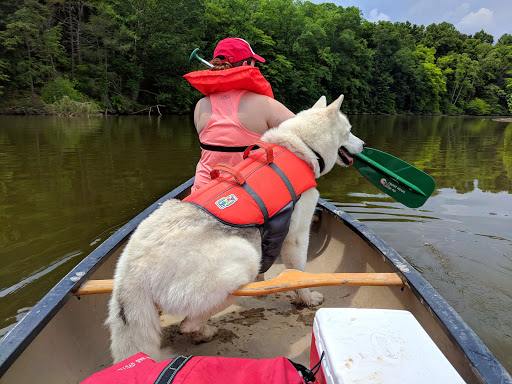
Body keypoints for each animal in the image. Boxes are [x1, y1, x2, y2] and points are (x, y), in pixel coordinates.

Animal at [107, 94, 364, 362]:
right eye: (349, 131)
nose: (365, 145)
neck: (300, 146)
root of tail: (131, 273)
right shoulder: (296, 236)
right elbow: (298, 273)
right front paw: (307, 298)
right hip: (244, 257)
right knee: (187, 324)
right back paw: (206, 331)